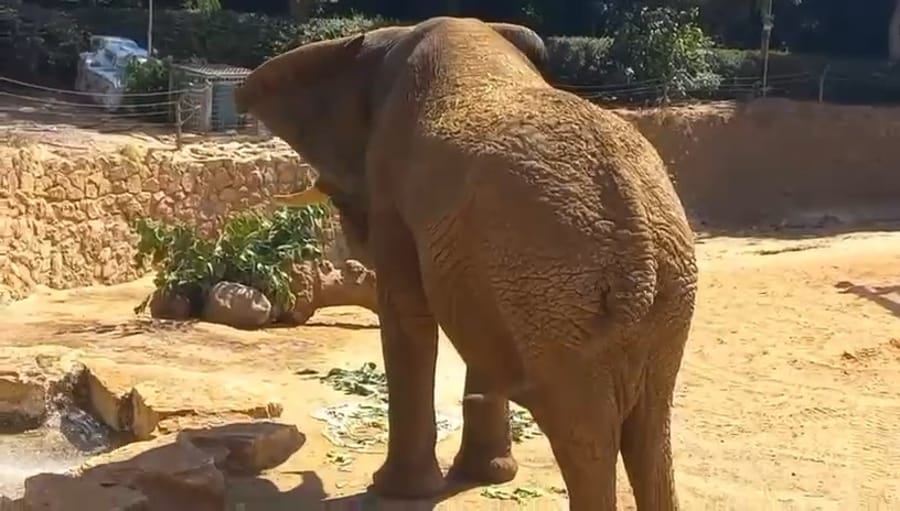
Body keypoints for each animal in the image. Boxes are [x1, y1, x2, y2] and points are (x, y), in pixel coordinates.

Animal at [235, 16, 698, 511]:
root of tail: (640, 239)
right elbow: (478, 334)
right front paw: (485, 475)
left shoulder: (392, 185)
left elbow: (407, 314)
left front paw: (395, 491)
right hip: (653, 294)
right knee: (649, 425)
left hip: (558, 295)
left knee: (585, 433)